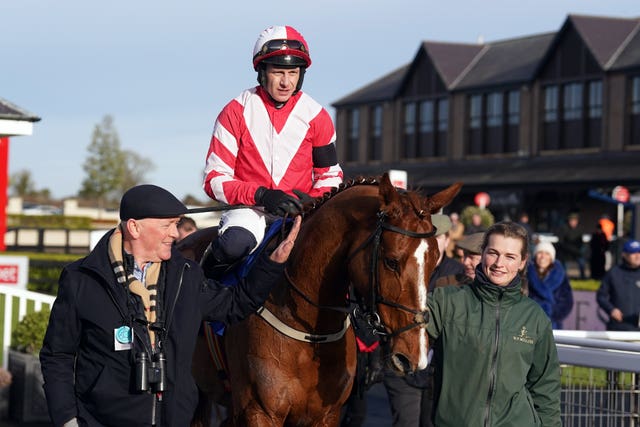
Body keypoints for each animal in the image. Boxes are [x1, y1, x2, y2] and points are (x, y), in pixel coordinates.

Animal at [184, 176, 460, 426]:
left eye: (435, 259)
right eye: (391, 261)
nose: (415, 355)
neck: (308, 333)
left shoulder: (326, 415)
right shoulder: (259, 411)